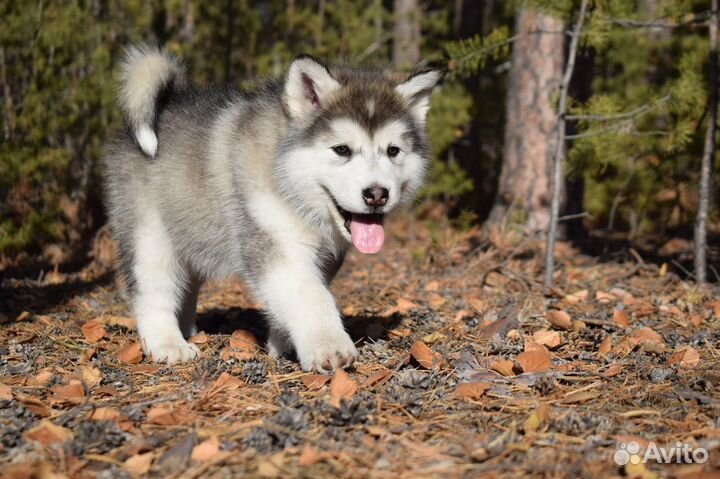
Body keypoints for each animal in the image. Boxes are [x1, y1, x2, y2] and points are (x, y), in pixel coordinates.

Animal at [101, 45, 438, 374]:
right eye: (342, 149)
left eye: (393, 151)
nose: (377, 195)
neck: (293, 188)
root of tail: (169, 102)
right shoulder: (275, 243)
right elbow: (311, 296)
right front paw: (329, 346)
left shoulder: (326, 256)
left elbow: (298, 295)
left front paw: (281, 343)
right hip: (149, 235)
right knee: (152, 290)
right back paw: (168, 343)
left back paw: (188, 330)